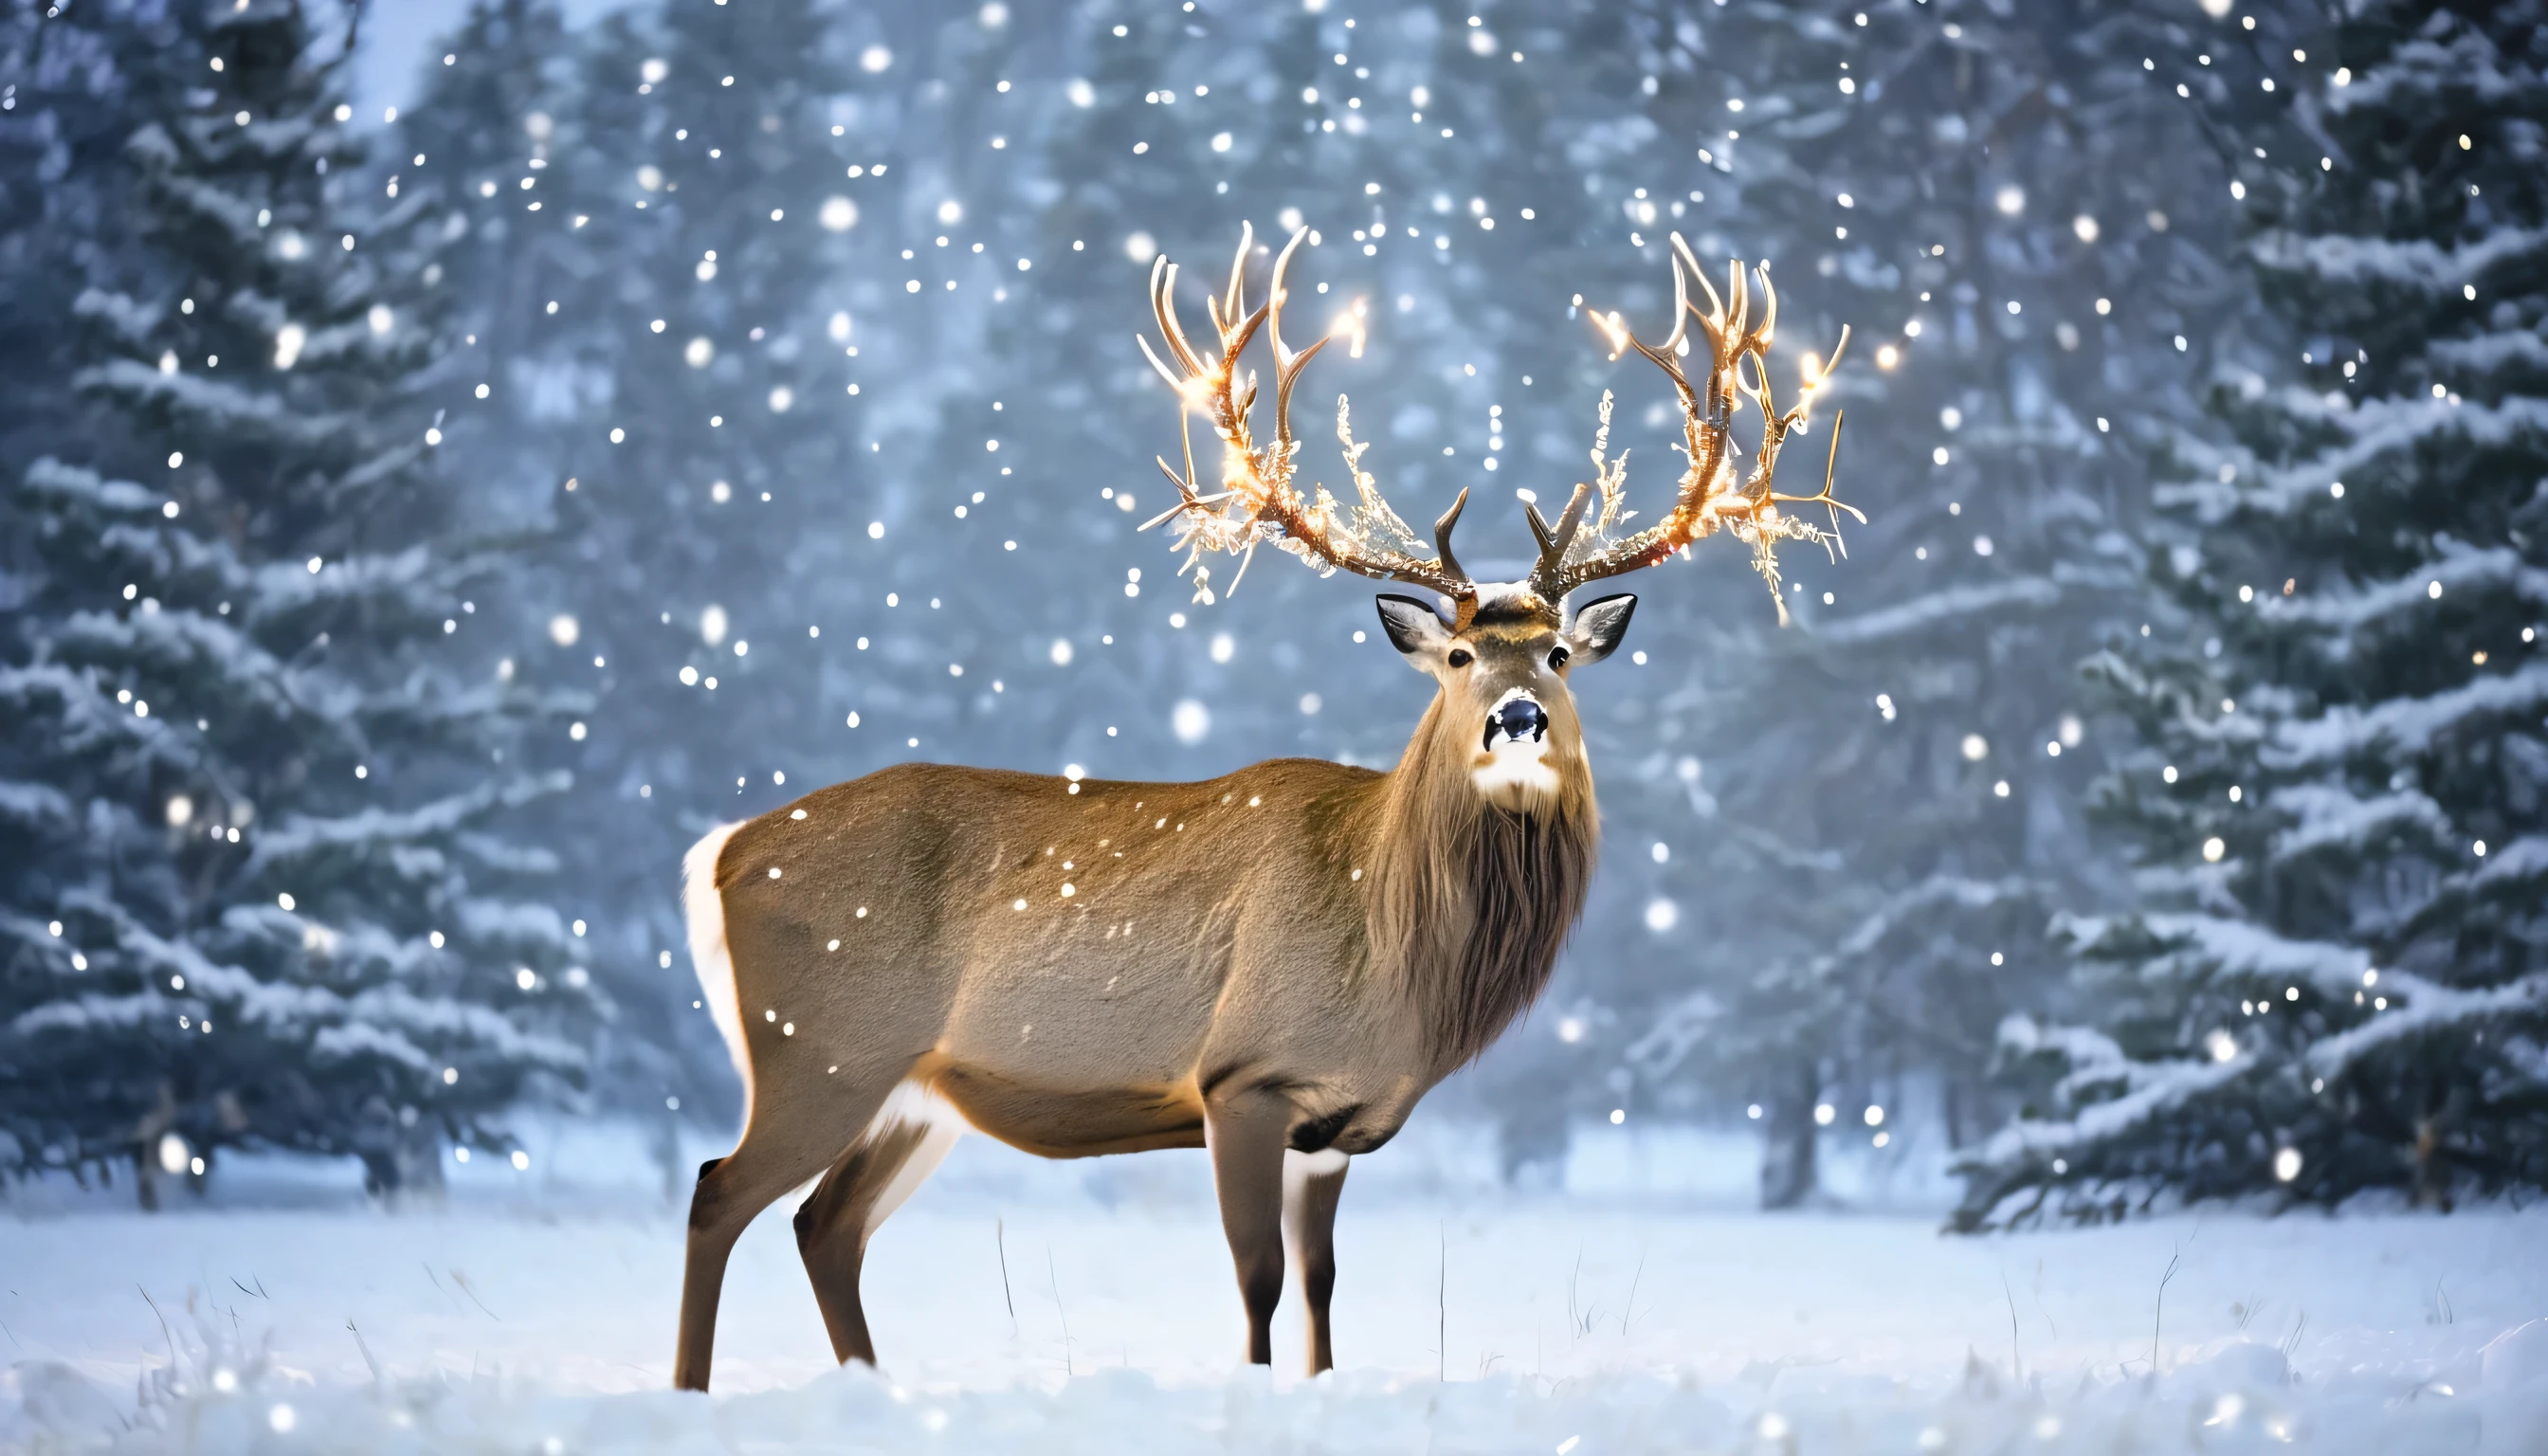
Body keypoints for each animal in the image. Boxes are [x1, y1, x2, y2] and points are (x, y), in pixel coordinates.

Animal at [662, 226, 1854, 1387]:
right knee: (720, 1187)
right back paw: (692, 1390)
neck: (1390, 955)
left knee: (824, 1224)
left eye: (1559, 654)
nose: (1516, 718)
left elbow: (1322, 1282)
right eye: (1460, 655)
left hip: (910, 1091)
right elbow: (1259, 1278)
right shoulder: (1241, 1077)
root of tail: (718, 852)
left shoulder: (1334, 1126)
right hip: (823, 1047)